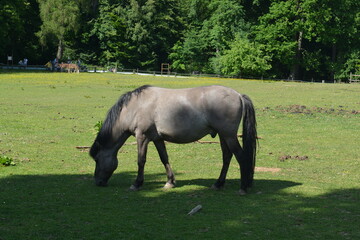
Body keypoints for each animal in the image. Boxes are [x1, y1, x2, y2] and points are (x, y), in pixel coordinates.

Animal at [90, 85, 258, 194]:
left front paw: (137, 184)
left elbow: (141, 160)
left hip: (229, 136)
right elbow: (164, 158)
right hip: (224, 136)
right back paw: (218, 184)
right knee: (227, 157)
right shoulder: (157, 139)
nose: (98, 182)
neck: (135, 107)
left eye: (97, 159)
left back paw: (243, 188)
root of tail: (238, 95)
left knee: (241, 157)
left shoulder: (142, 137)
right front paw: (170, 182)